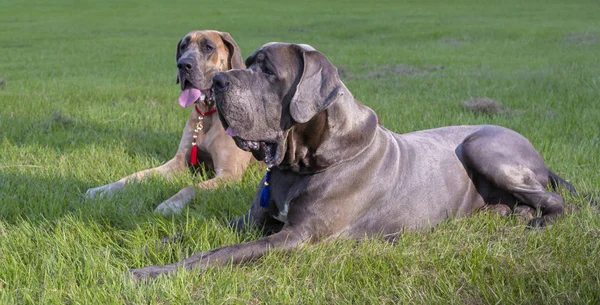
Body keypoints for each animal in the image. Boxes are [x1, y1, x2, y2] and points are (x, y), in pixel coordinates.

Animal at [130, 42, 572, 278]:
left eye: (268, 71)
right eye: (247, 62)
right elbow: (197, 231)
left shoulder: (296, 236)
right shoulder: (252, 219)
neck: (297, 164)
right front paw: (146, 244)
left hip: (482, 146)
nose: (219, 81)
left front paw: (150, 273)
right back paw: (508, 214)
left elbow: (223, 253)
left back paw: (536, 222)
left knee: (559, 202)